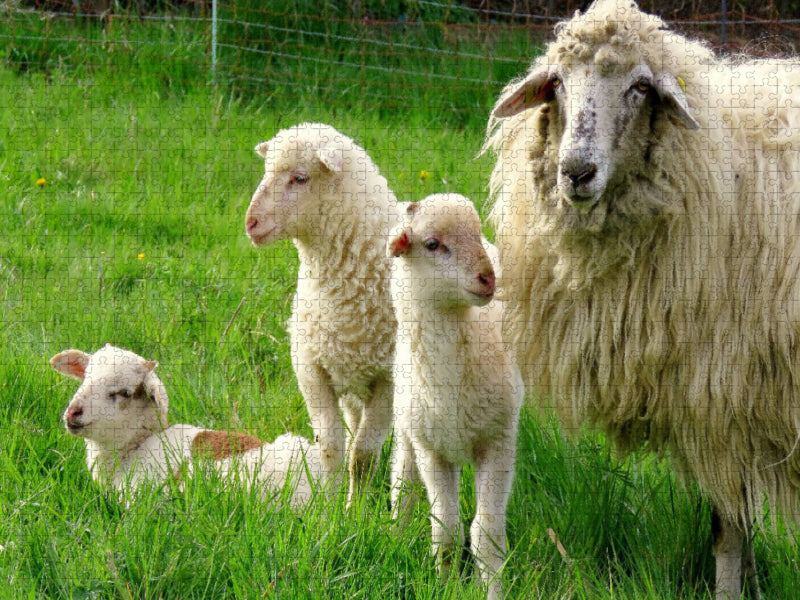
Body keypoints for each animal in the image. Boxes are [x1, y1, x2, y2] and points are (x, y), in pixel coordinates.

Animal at [245, 122, 403, 505]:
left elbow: (362, 454)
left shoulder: (388, 381)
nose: (251, 222)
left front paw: (355, 510)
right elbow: (331, 447)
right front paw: (329, 507)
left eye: (300, 178)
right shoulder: (312, 371)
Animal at [387, 194, 523, 600]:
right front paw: (445, 586)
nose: (488, 277)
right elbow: (445, 529)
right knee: (402, 477)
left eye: (476, 233)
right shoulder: (431, 450)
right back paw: (397, 529)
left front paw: (493, 589)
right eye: (433, 244)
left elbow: (485, 534)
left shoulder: (496, 441)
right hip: (408, 425)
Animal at [483, 0, 800, 597]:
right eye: (558, 81)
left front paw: (729, 588)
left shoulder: (720, 393)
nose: (576, 171)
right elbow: (738, 523)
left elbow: (727, 528)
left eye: (639, 87)